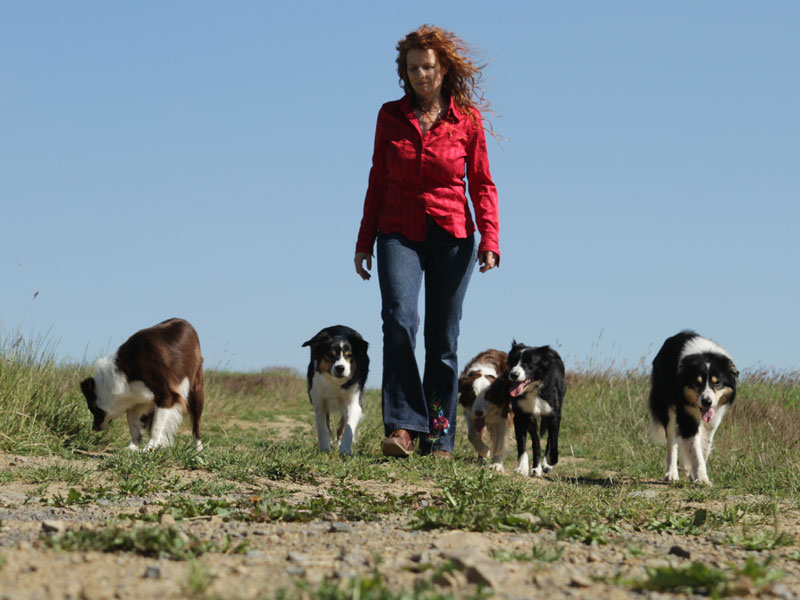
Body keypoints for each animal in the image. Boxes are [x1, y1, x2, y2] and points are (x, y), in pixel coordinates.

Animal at [79, 318, 205, 450]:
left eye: (92, 409)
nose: (94, 427)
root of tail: (185, 322)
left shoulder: (166, 396)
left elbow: (156, 427)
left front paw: (150, 447)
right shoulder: (138, 398)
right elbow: (133, 424)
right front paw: (133, 447)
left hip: (196, 390)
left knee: (196, 424)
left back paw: (198, 449)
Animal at [302, 326, 370, 458]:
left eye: (349, 355)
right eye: (329, 354)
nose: (340, 368)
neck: (335, 383)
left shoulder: (354, 402)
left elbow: (348, 427)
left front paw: (345, 450)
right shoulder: (318, 400)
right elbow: (323, 426)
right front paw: (325, 448)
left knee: (341, 426)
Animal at [488, 342, 568, 478]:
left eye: (528, 363)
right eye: (513, 361)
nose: (513, 374)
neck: (534, 389)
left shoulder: (554, 415)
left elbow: (553, 441)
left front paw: (549, 461)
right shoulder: (521, 416)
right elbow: (523, 446)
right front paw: (522, 468)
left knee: (548, 439)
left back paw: (545, 464)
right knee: (536, 442)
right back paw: (536, 468)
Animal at [648, 330, 736, 486]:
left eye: (717, 383)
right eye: (697, 383)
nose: (706, 402)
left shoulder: (713, 418)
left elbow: (703, 447)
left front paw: (694, 473)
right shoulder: (687, 414)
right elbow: (695, 448)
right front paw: (701, 478)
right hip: (667, 406)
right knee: (671, 441)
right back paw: (671, 474)